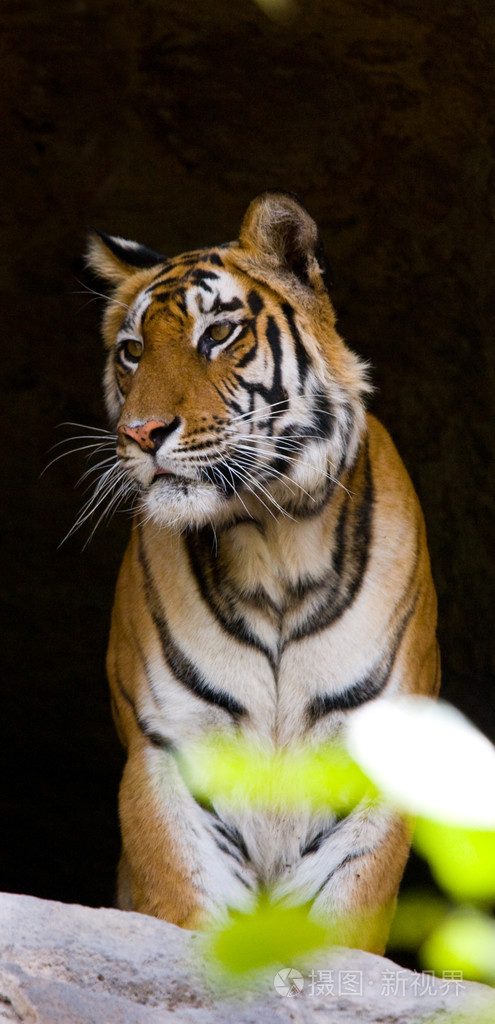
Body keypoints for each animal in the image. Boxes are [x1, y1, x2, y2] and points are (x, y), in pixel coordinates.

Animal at [85, 190, 440, 954]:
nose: (140, 434)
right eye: (132, 352)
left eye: (217, 334)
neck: (272, 544)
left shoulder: (368, 764)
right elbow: (184, 907)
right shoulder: (170, 750)